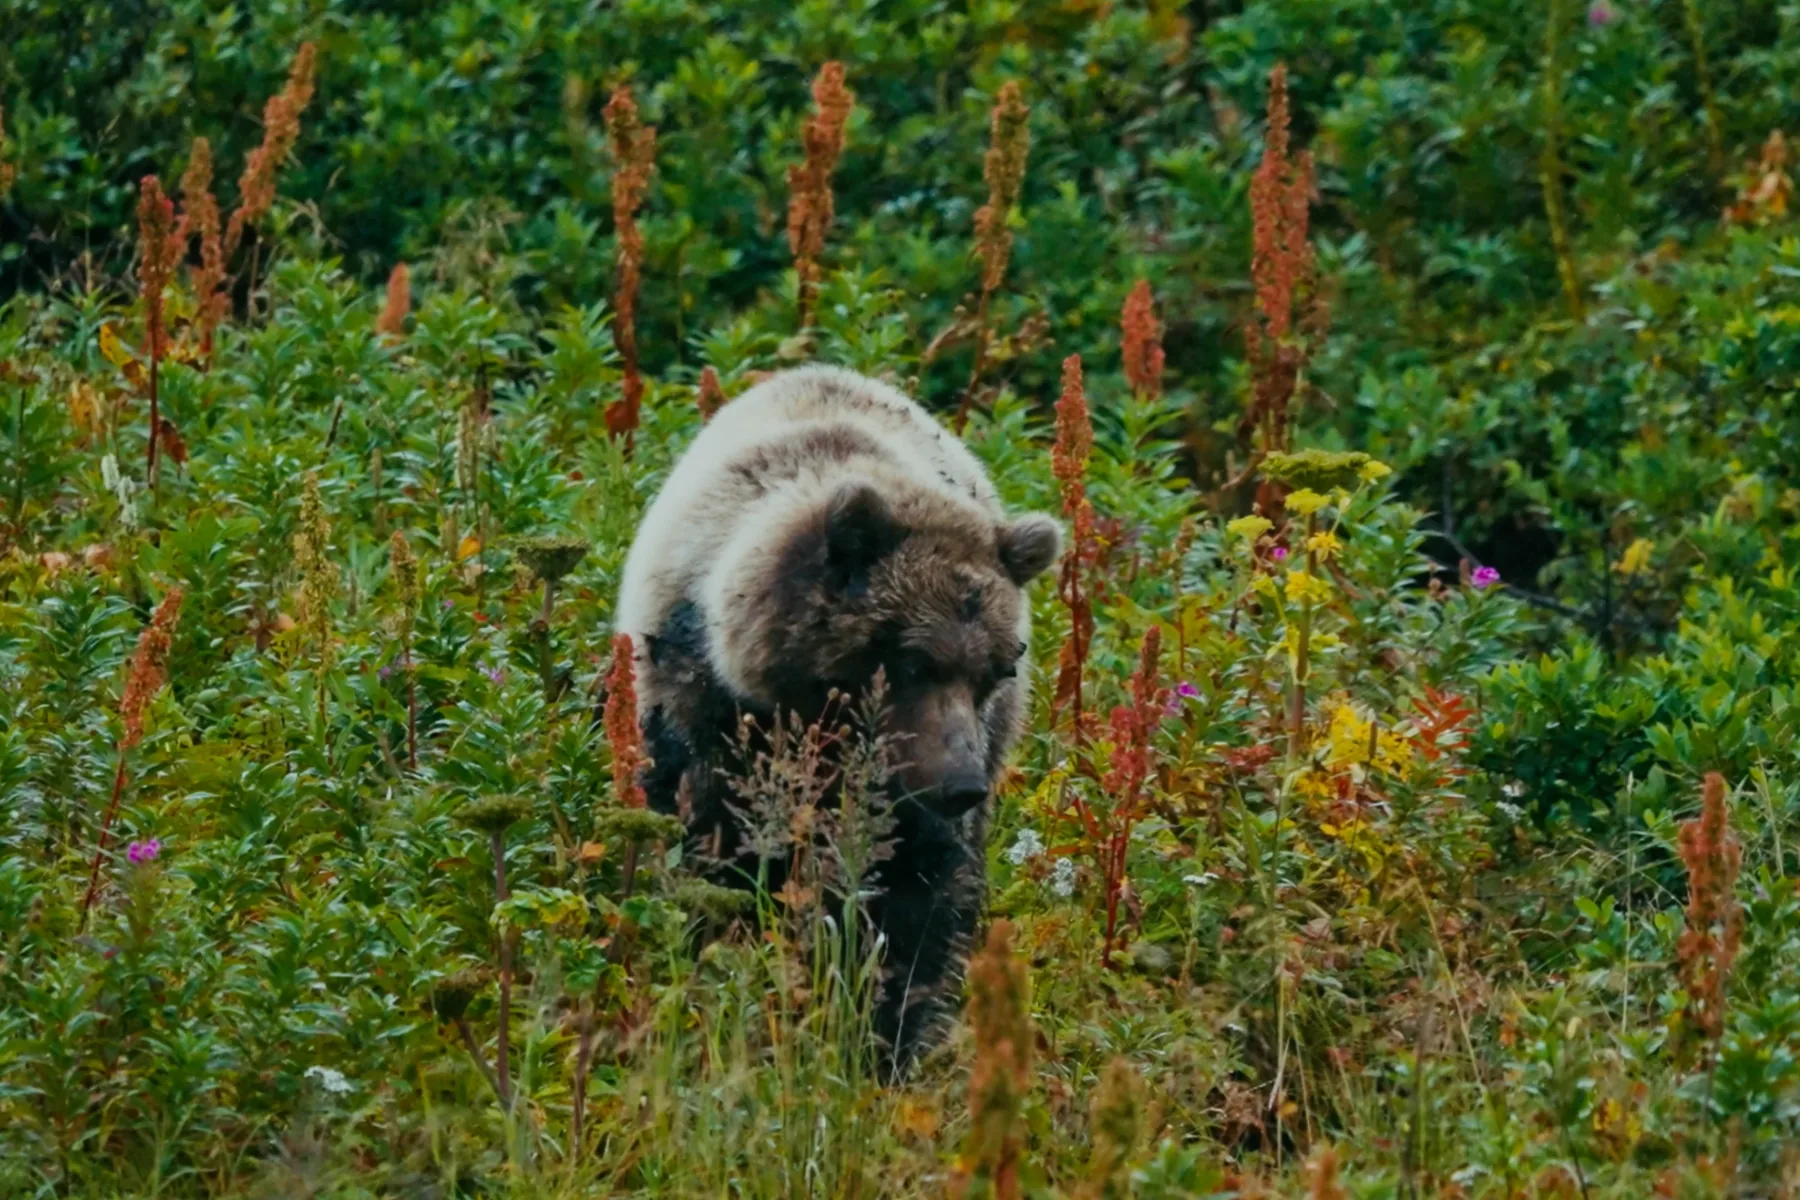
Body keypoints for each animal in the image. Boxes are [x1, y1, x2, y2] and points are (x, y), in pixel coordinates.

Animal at [614, 364, 1061, 1069]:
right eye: (913, 661)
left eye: (995, 670)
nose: (961, 785)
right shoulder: (700, 706)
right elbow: (712, 852)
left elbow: (913, 900)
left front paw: (885, 1029)